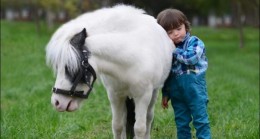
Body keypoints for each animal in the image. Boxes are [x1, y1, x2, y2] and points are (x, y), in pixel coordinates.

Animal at [46, 4, 175, 139]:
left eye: (72, 68)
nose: (56, 102)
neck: (129, 60)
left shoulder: (143, 97)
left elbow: (140, 128)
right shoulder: (115, 96)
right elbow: (117, 125)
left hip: (153, 93)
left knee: (149, 118)